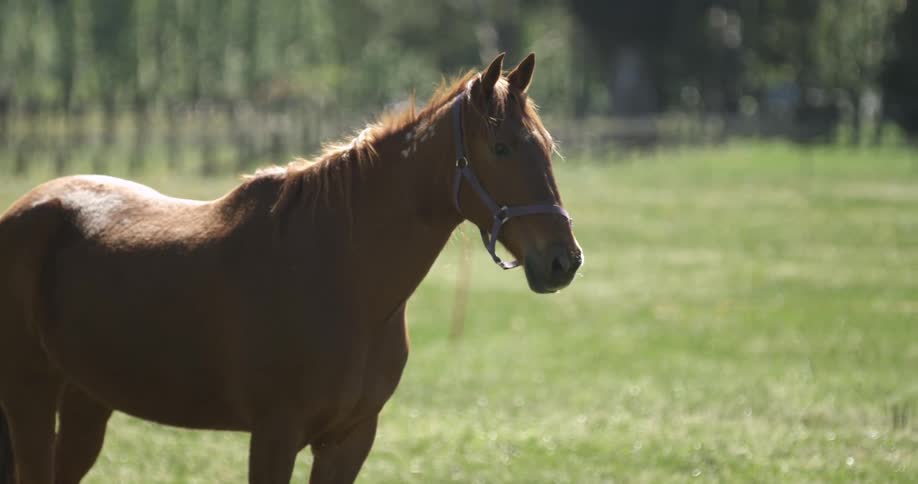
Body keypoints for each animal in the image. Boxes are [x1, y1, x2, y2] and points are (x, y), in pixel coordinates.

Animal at [0, 53, 582, 483]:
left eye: (547, 147)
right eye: (501, 148)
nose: (563, 261)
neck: (344, 277)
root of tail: (27, 209)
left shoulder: (349, 440)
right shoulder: (275, 436)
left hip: (85, 402)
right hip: (30, 396)